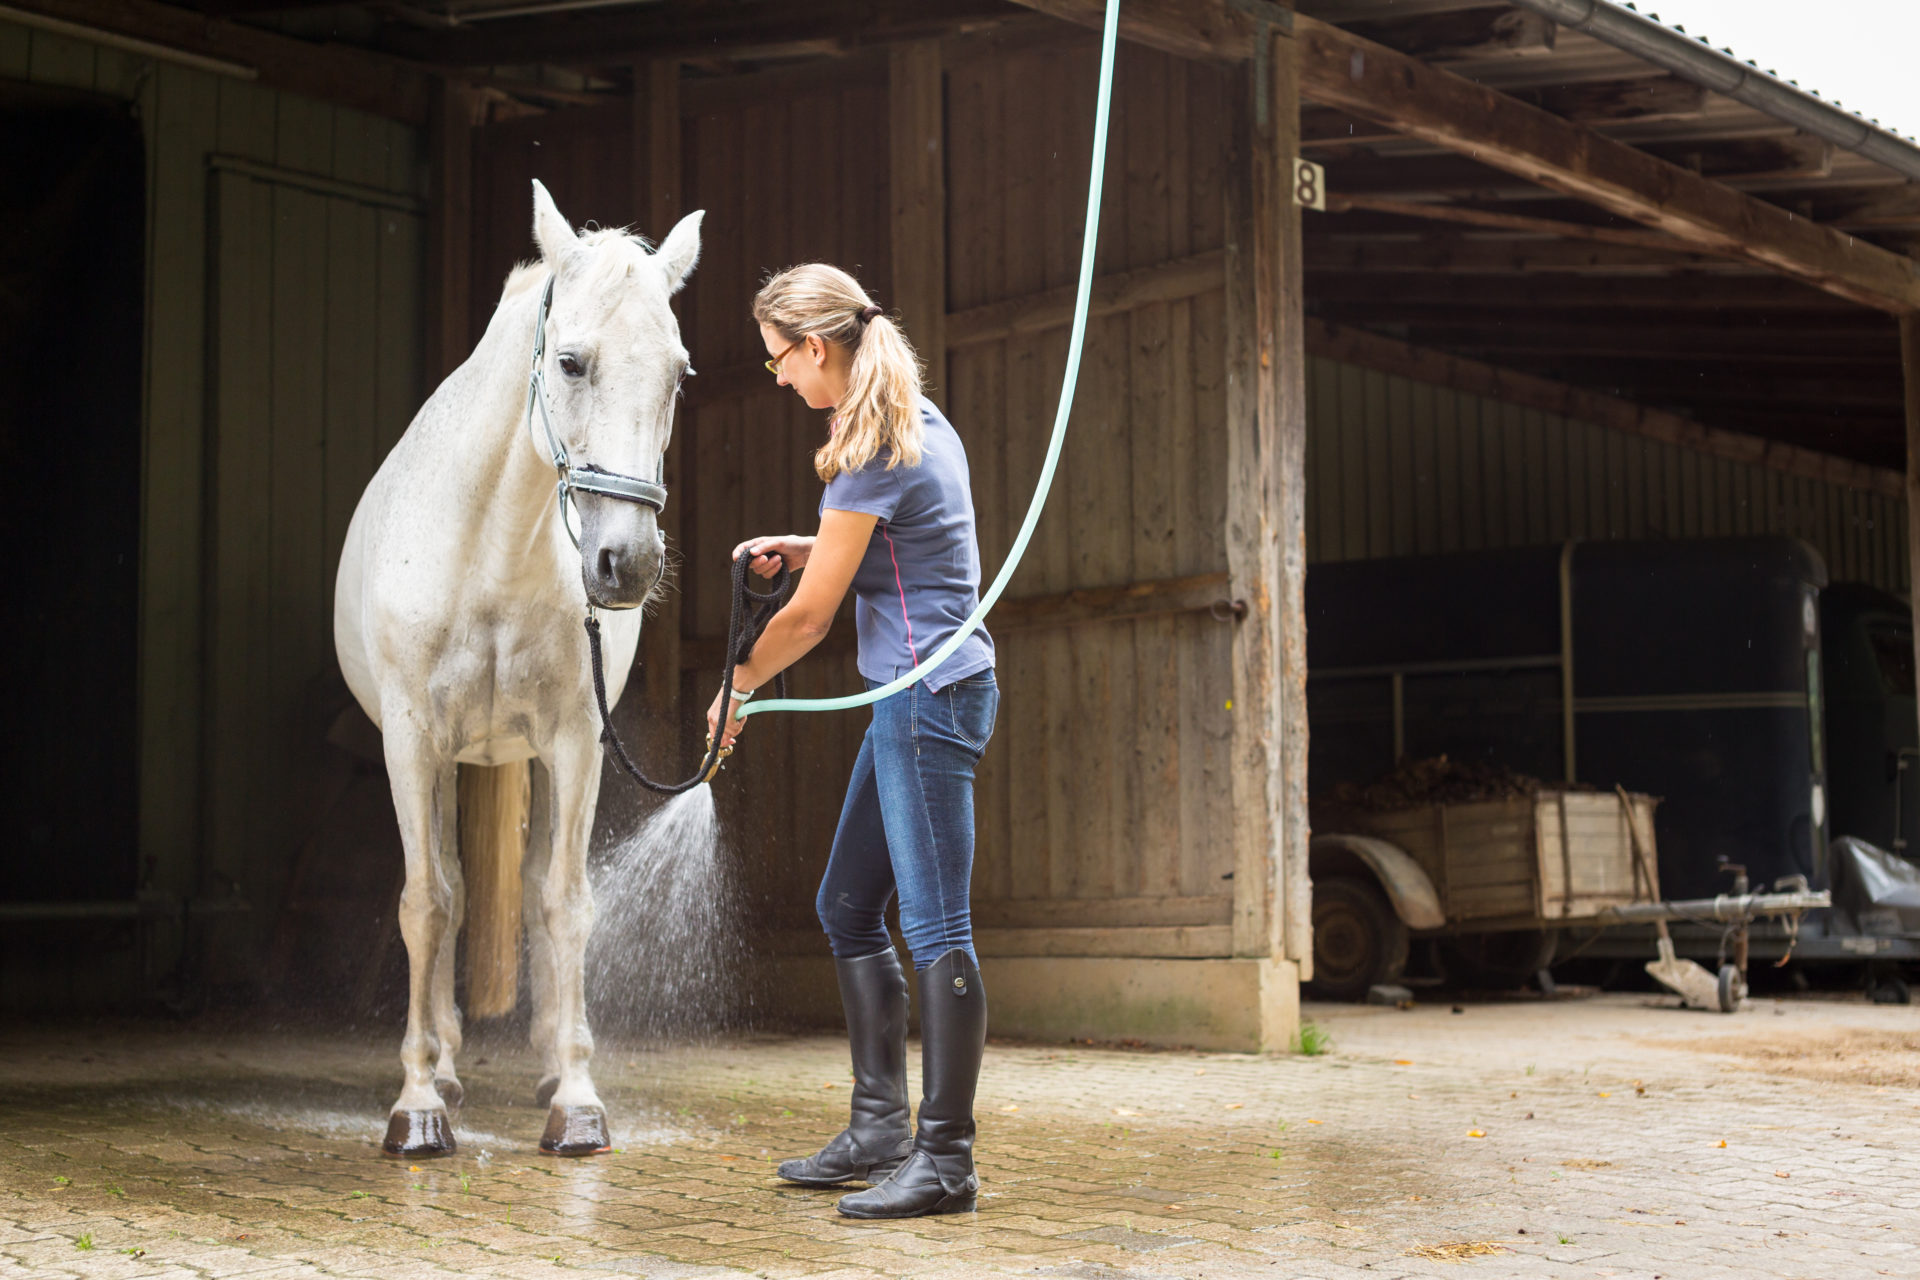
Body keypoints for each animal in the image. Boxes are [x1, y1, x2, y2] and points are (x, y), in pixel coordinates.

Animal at [334, 182, 702, 1159]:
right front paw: (418, 1105)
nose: (626, 564)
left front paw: (576, 1102)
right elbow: (427, 906)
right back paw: (447, 1069)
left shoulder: (575, 743)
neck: (490, 551)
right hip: (448, 765)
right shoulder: (414, 743)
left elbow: (565, 904)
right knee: (452, 896)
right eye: (571, 362)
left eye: (678, 373)